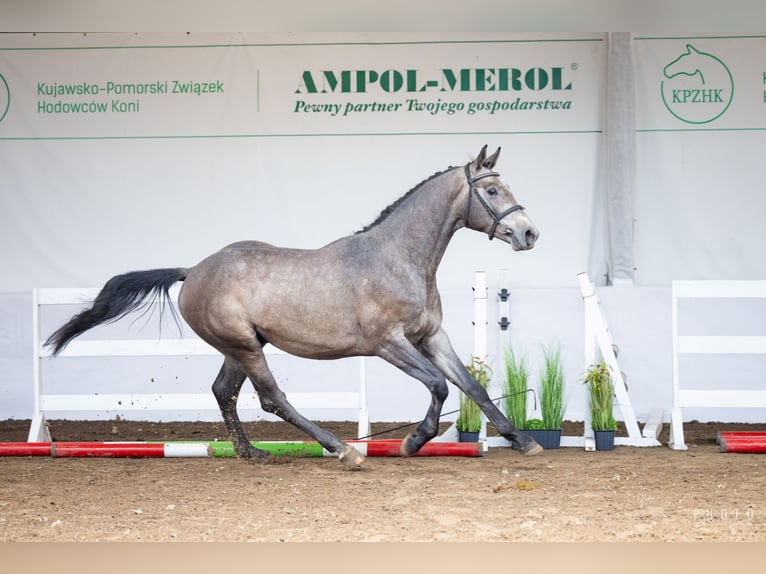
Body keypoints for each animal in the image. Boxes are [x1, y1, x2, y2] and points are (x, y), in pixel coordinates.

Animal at [48, 146, 544, 470]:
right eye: (493, 190)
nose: (529, 234)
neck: (398, 258)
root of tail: (193, 270)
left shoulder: (431, 337)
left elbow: (472, 386)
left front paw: (522, 441)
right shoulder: (389, 343)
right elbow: (438, 385)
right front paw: (413, 442)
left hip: (241, 346)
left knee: (224, 392)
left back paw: (252, 454)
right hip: (245, 346)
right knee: (272, 398)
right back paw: (344, 450)